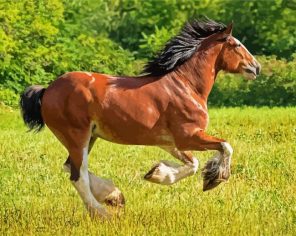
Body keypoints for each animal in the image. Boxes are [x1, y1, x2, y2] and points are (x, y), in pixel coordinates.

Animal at [20, 18, 262, 218]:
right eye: (236, 45)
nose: (256, 67)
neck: (186, 86)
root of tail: (47, 91)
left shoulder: (170, 142)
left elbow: (192, 164)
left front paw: (156, 173)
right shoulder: (188, 135)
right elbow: (225, 146)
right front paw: (214, 179)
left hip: (89, 137)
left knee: (71, 167)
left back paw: (113, 196)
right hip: (77, 136)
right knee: (78, 176)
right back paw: (103, 214)